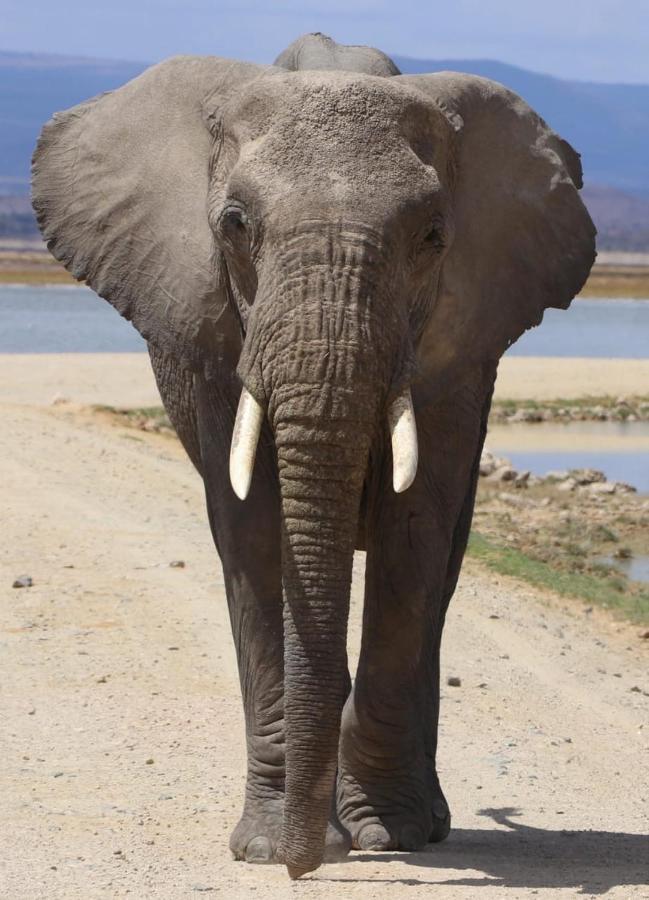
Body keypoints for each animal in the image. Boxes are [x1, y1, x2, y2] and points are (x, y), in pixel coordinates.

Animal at [33, 31, 596, 876]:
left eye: (433, 235)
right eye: (234, 223)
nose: (308, 866)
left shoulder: (454, 351)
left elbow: (412, 535)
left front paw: (386, 836)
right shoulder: (210, 334)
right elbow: (253, 534)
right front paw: (270, 847)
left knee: (441, 570)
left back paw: (414, 822)